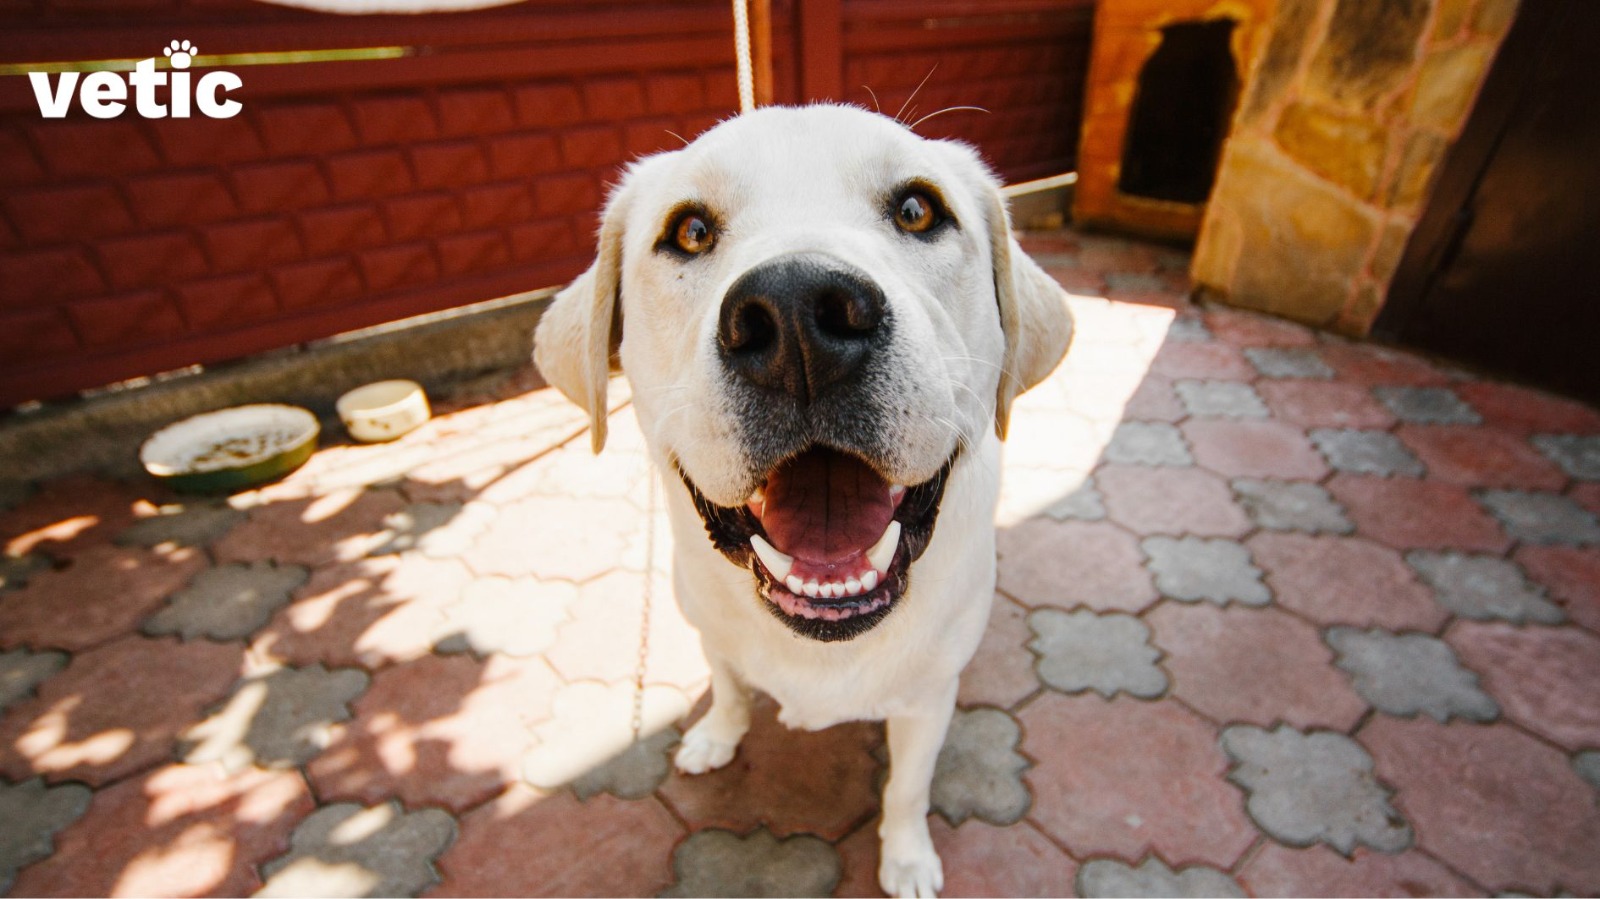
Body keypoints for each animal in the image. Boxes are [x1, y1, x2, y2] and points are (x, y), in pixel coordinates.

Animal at [537, 106, 1075, 895]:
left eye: (917, 211)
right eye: (689, 230)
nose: (797, 315)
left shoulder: (926, 699)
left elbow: (906, 788)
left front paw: (906, 857)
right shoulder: (712, 635)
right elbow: (729, 685)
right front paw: (718, 733)